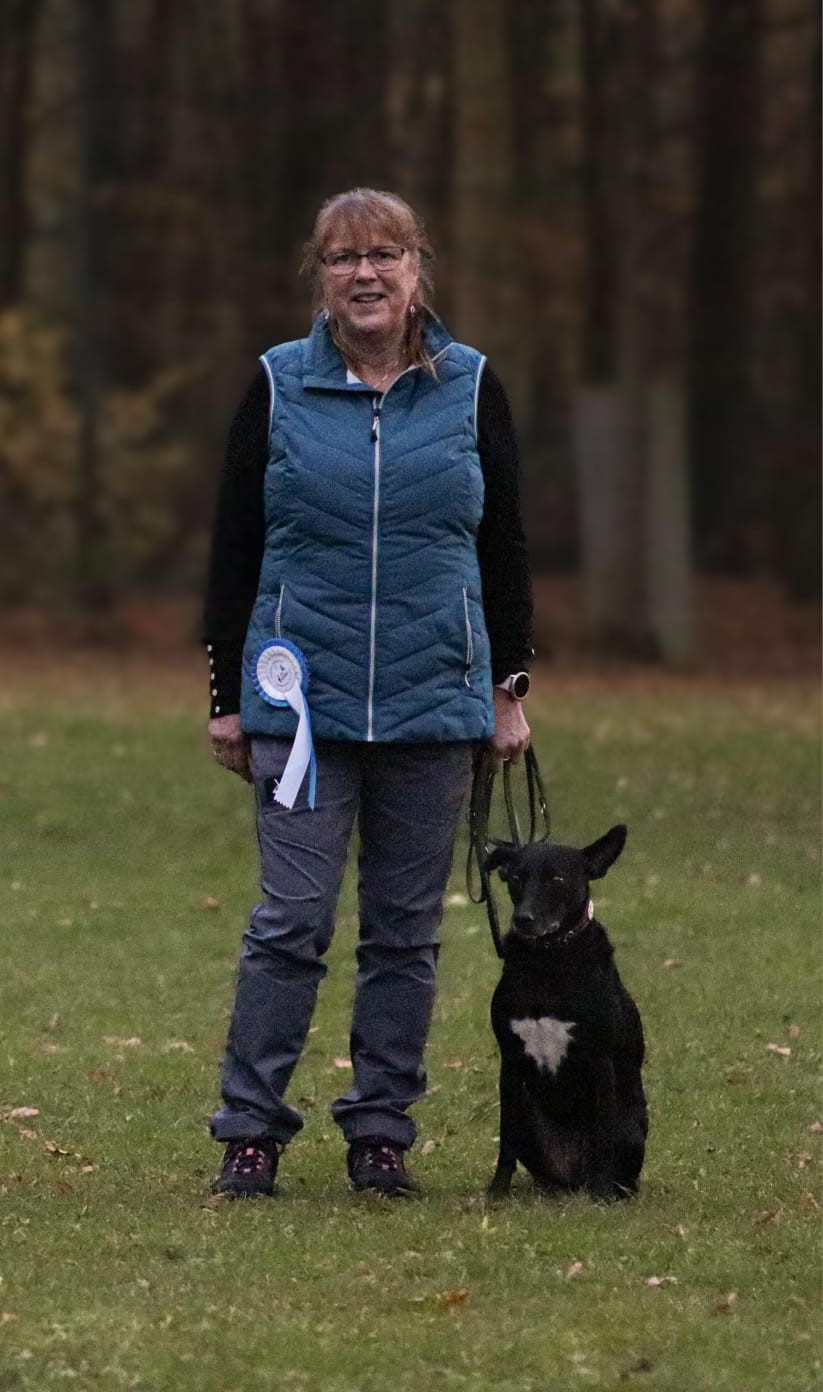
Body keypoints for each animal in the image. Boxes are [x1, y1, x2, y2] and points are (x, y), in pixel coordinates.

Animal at [485, 825, 648, 1201]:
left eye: (557, 878)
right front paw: (497, 1191)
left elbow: (603, 1137)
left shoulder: (600, 1060)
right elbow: (506, 1140)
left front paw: (602, 1195)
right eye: (517, 877)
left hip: (631, 1127)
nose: (523, 919)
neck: (548, 962)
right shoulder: (510, 1063)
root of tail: (573, 1178)